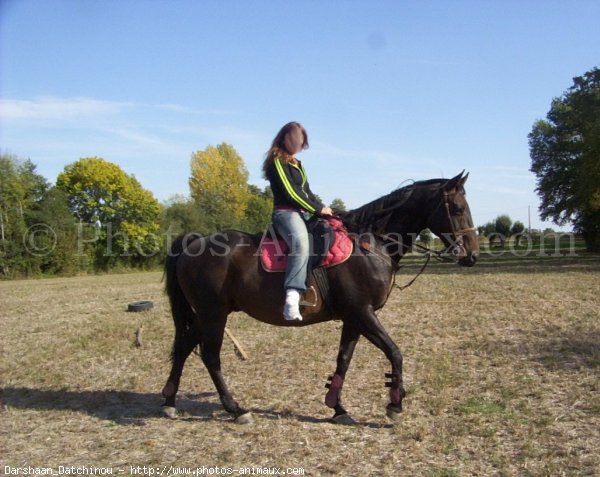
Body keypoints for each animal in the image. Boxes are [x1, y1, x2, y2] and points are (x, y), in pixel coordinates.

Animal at [159, 171, 478, 424]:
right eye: (457, 207)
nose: (472, 255)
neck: (370, 244)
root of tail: (194, 242)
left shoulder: (354, 318)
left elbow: (344, 360)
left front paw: (337, 407)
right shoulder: (363, 313)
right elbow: (394, 353)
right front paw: (395, 404)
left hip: (207, 314)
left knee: (185, 347)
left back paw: (169, 402)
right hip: (214, 314)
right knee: (210, 357)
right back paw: (235, 409)